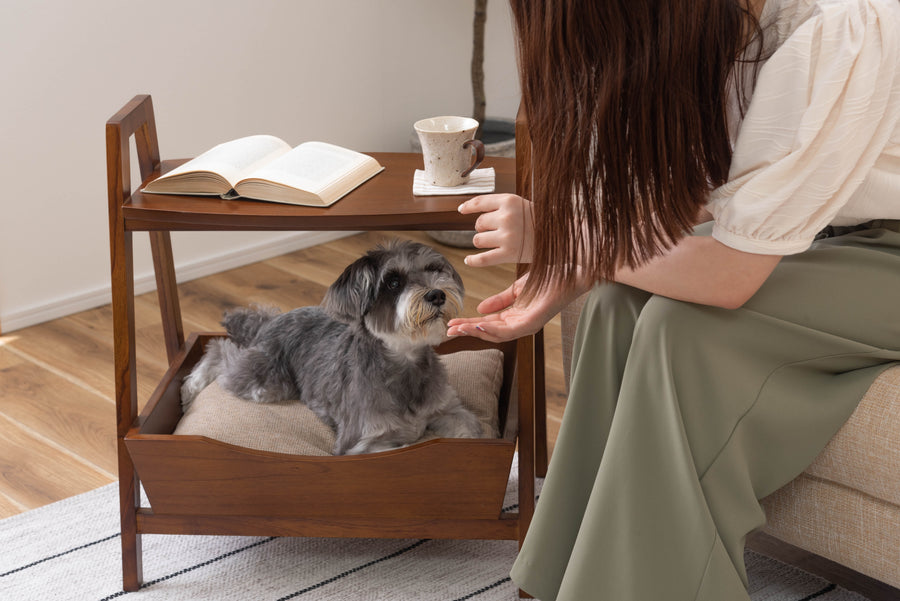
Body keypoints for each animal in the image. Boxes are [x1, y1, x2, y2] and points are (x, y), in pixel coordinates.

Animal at [181, 239, 486, 454]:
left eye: (434, 269)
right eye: (393, 282)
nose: (437, 294)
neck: (404, 364)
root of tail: (274, 321)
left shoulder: (449, 410)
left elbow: (473, 430)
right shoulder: (361, 444)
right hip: (267, 381)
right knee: (220, 350)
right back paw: (192, 385)